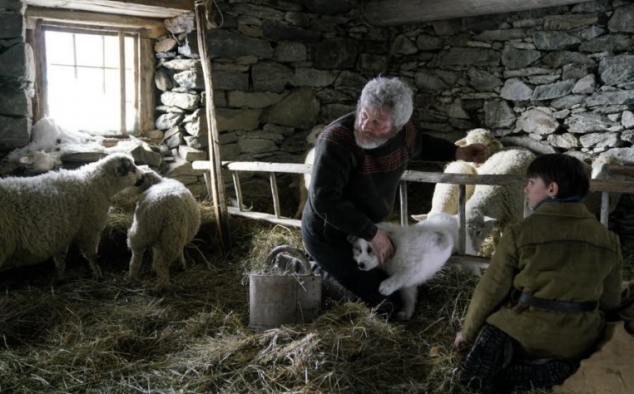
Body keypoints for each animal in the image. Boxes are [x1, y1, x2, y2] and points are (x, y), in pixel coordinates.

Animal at [0, 152, 143, 282]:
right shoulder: (89, 229)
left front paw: (60, 278)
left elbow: (61, 259)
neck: (94, 182)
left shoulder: (62, 234)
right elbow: (92, 257)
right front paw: (99, 276)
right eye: (132, 168)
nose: (142, 177)